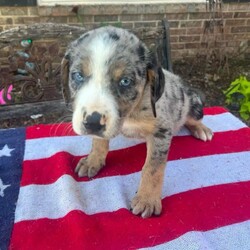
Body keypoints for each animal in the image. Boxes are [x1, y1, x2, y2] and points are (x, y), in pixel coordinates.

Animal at [61, 25, 213, 217]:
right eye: (78, 75)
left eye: (125, 81)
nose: (93, 123)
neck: (131, 113)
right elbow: (98, 142)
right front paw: (93, 160)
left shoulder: (161, 132)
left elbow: (153, 169)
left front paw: (147, 200)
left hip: (193, 103)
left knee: (190, 118)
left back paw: (202, 129)